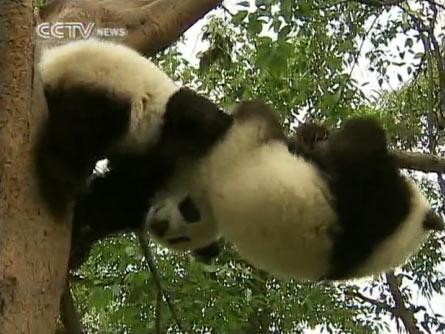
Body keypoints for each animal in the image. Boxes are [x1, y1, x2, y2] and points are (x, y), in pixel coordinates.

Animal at [145, 100, 440, 280]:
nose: (159, 226)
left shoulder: (372, 196)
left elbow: (361, 138)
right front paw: (313, 132)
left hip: (244, 143)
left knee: (254, 111)